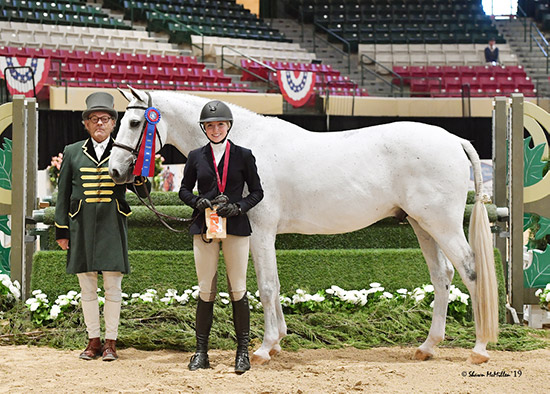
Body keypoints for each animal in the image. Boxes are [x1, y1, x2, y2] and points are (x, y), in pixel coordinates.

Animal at [108, 87, 500, 364]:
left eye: (134, 123)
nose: (114, 170)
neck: (241, 144)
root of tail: (455, 140)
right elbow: (273, 284)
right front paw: (278, 341)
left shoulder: (261, 231)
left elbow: (266, 286)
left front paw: (265, 348)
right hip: (422, 224)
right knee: (442, 276)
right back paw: (428, 346)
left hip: (442, 223)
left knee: (471, 271)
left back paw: (479, 348)